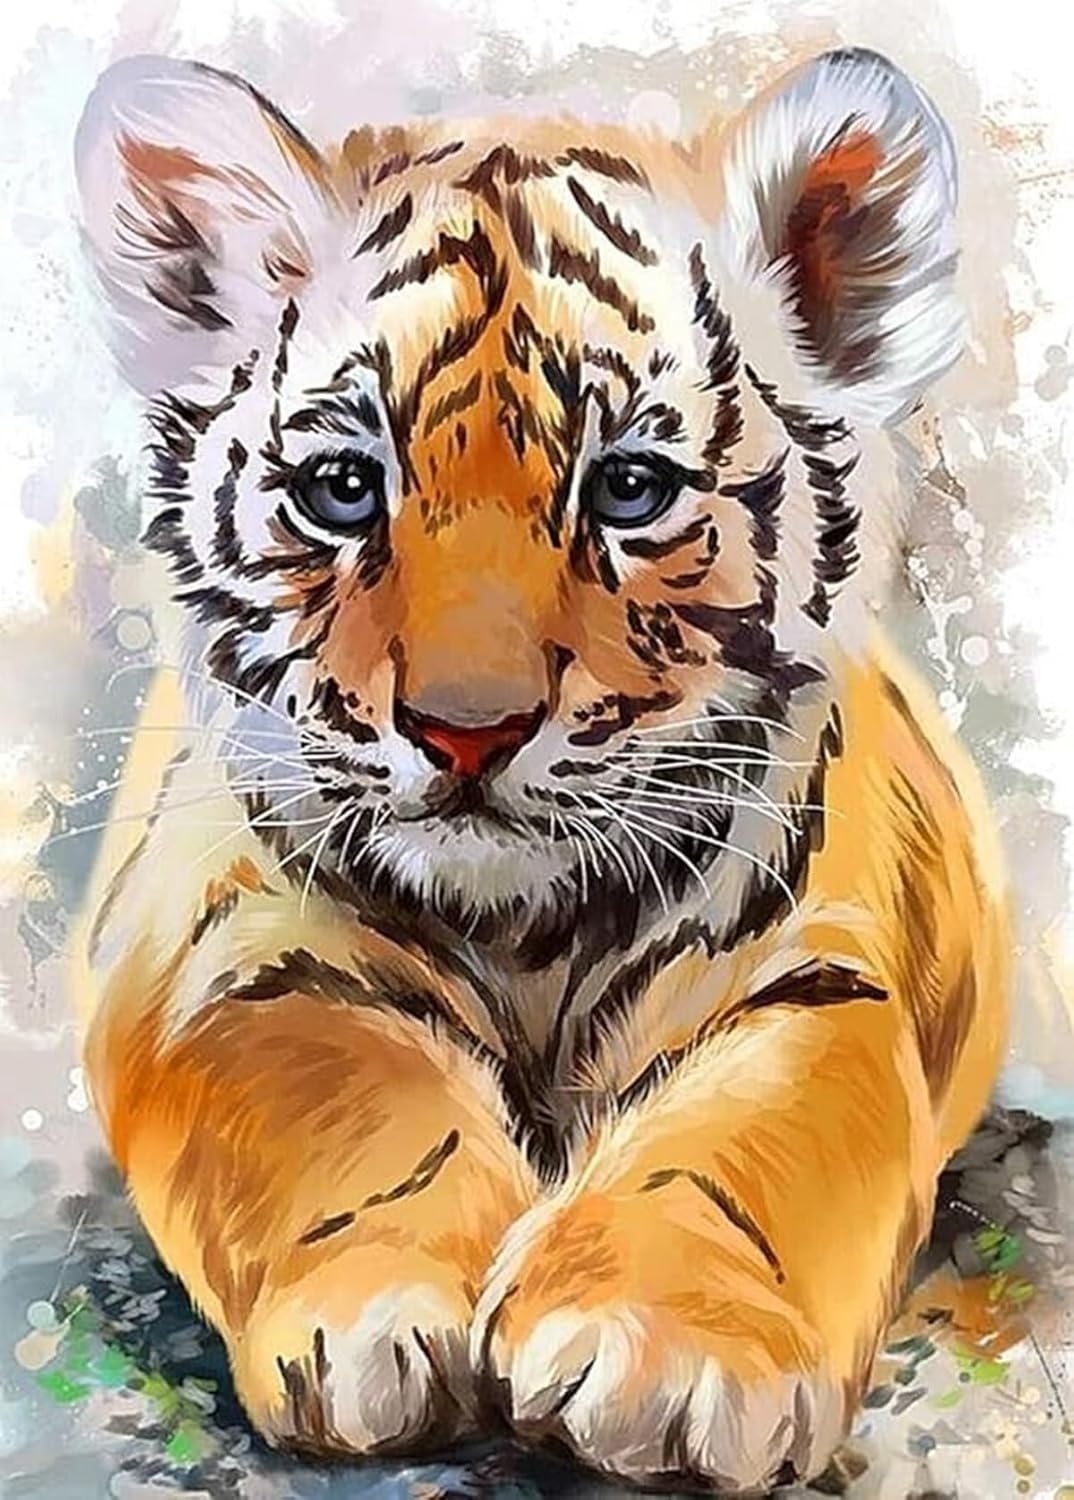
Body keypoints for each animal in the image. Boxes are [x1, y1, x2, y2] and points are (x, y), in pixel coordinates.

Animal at [70, 45, 1008, 1493]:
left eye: (627, 490)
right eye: (343, 488)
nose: (469, 728)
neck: (525, 935)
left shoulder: (816, 973)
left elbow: (740, 1150)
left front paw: (664, 1354)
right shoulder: (225, 950)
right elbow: (348, 1095)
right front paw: (388, 1308)